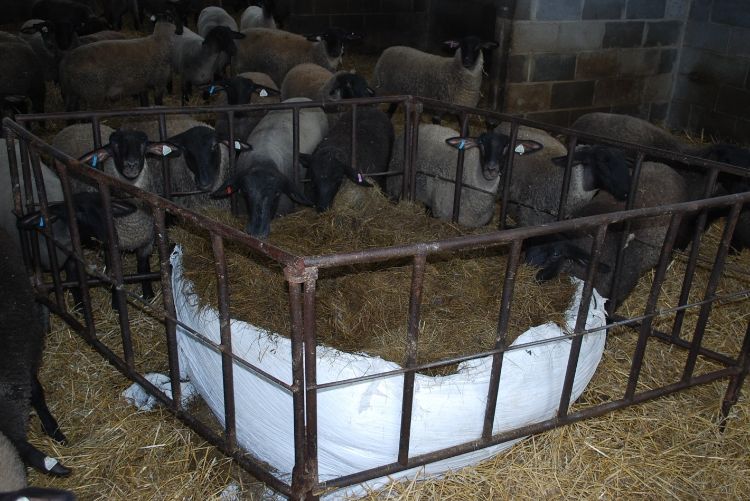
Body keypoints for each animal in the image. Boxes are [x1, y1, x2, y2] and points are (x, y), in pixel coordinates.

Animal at [51, 122, 182, 298]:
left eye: (144, 144)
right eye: (115, 145)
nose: (131, 164)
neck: (133, 222)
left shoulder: (147, 242)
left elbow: (143, 269)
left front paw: (148, 295)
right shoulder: (110, 247)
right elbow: (115, 276)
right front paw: (116, 301)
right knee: (71, 264)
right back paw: (78, 299)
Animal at [388, 124, 548, 228]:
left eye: (507, 147)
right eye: (481, 144)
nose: (491, 169)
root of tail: (421, 125)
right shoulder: (441, 214)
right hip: (396, 174)